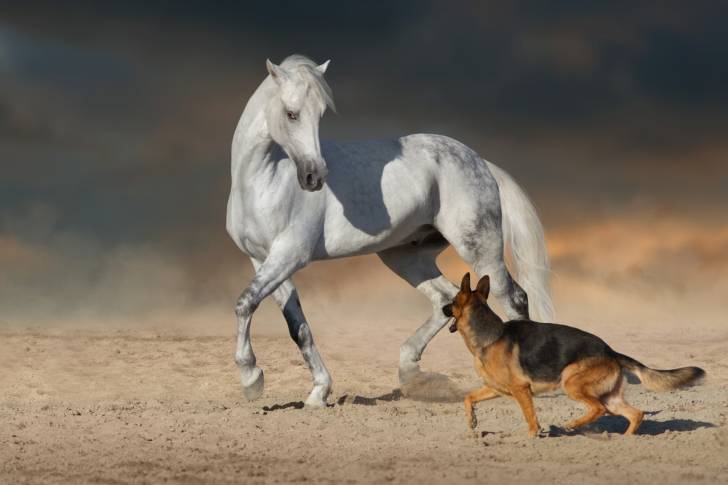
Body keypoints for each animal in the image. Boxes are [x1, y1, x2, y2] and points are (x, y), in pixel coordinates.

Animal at [226, 54, 553, 407]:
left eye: (320, 114)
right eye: (291, 113)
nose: (314, 177)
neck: (264, 183)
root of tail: (480, 161)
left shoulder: (289, 256)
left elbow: (245, 303)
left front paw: (251, 379)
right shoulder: (263, 260)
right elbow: (297, 326)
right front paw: (317, 393)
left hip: (480, 248)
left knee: (514, 297)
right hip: (405, 257)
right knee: (446, 299)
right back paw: (410, 372)